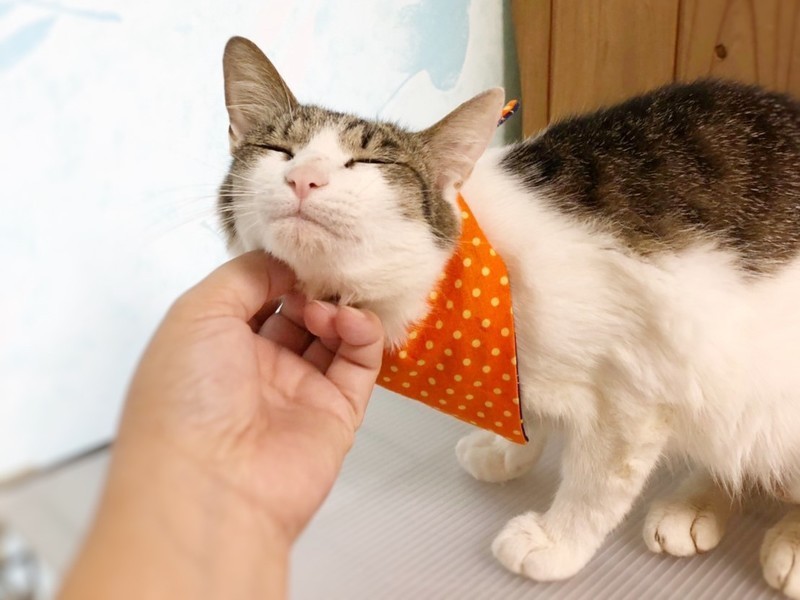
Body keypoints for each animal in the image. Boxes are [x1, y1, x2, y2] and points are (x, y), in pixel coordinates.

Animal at [218, 36, 800, 596]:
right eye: (278, 150)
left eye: (368, 163)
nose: (304, 178)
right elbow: (526, 407)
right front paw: (509, 447)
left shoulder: (640, 383)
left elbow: (597, 481)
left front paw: (558, 540)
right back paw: (695, 504)